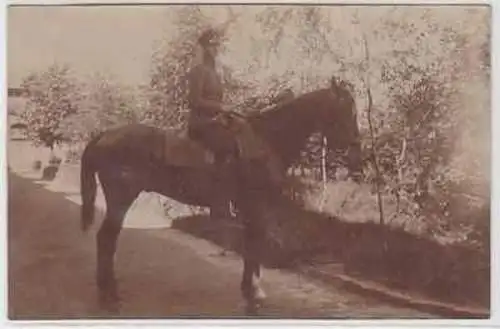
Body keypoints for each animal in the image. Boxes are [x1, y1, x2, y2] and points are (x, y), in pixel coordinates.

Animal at [79, 78, 364, 314]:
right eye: (344, 109)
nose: (353, 146)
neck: (267, 140)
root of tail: (104, 135)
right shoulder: (256, 205)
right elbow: (254, 244)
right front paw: (254, 294)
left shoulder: (251, 208)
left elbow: (251, 244)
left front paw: (250, 289)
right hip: (120, 199)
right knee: (106, 239)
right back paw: (109, 294)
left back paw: (108, 289)